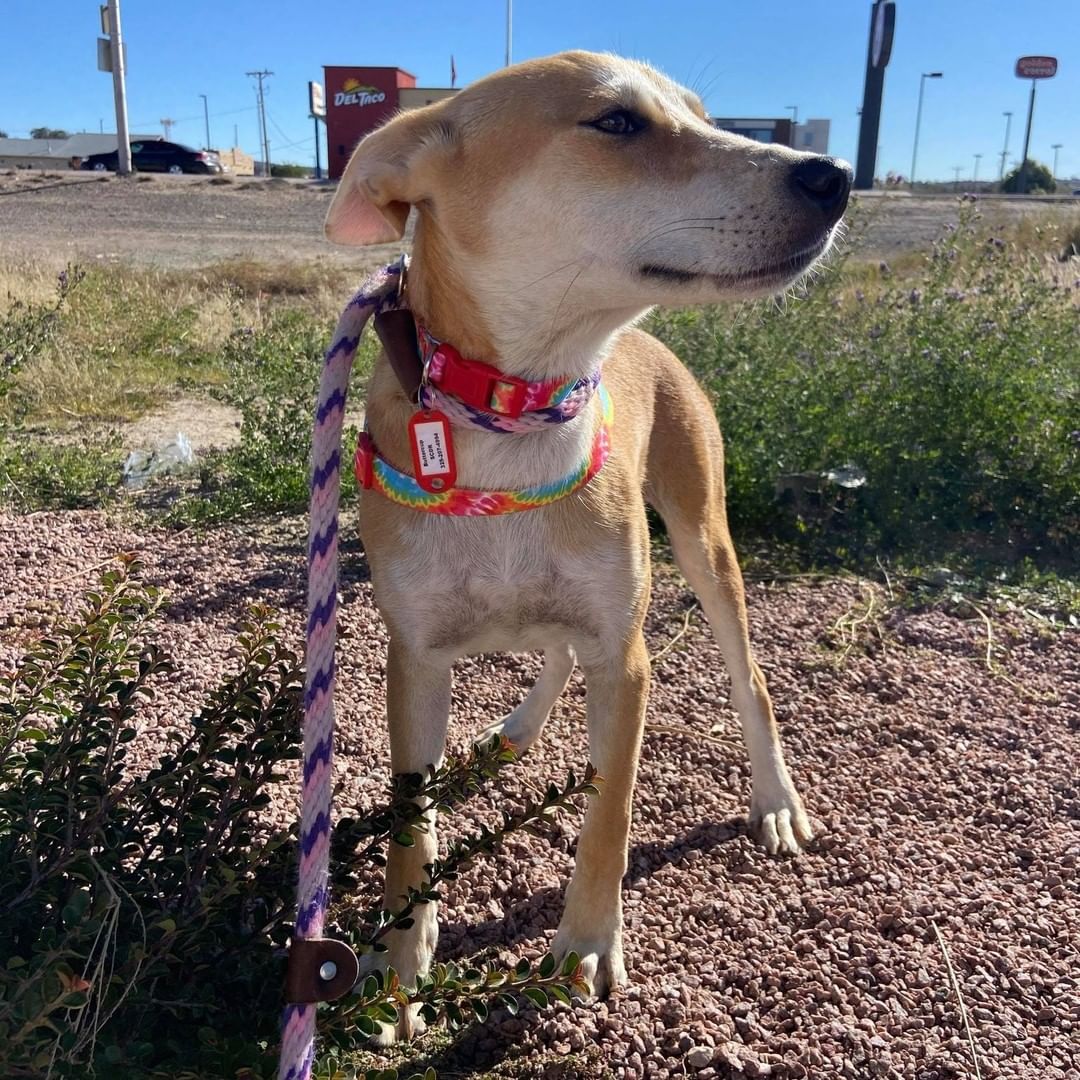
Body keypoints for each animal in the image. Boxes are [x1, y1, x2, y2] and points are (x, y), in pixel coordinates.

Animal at [324, 48, 846, 1036]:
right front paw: (397, 962)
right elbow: (411, 823)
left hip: (704, 545)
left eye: (703, 115)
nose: (833, 176)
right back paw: (513, 733)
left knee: (749, 682)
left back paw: (775, 801)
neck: (517, 417)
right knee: (551, 654)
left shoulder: (624, 657)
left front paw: (586, 945)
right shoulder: (414, 655)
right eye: (616, 122)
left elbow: (609, 810)